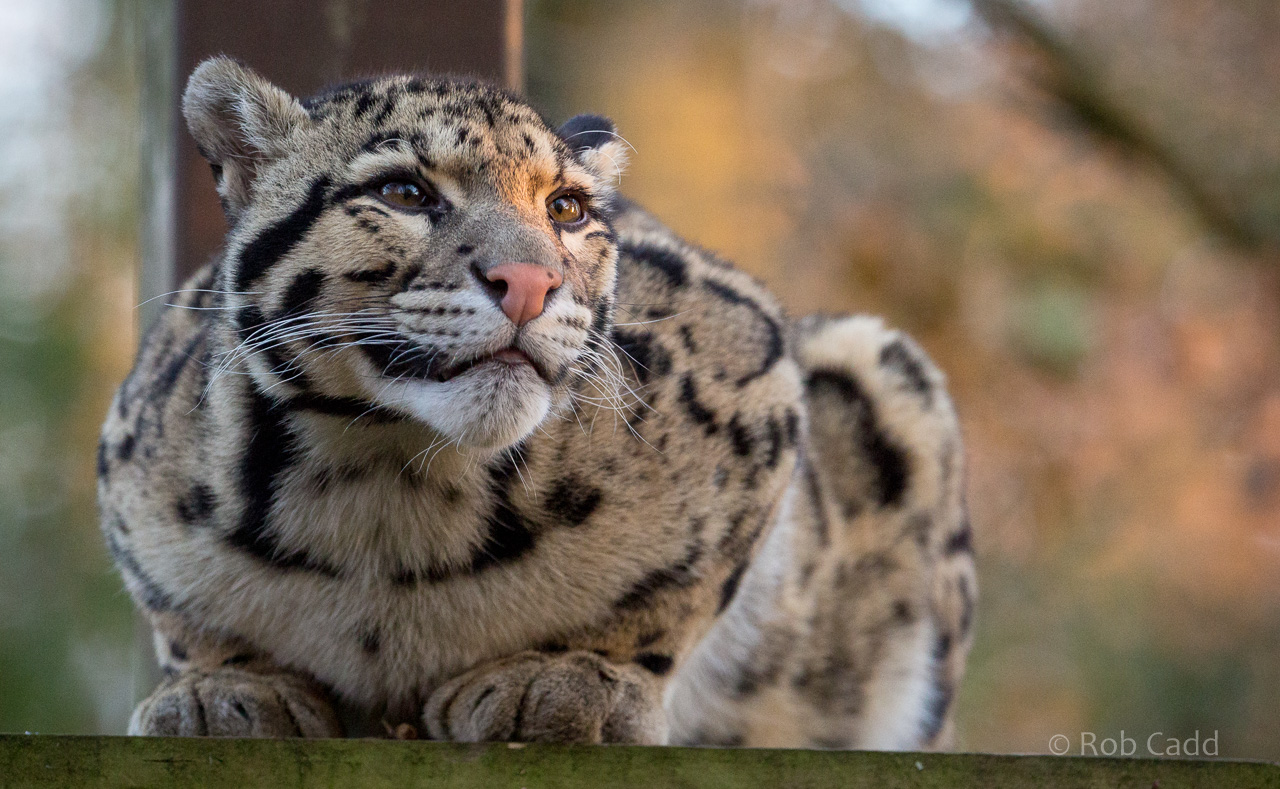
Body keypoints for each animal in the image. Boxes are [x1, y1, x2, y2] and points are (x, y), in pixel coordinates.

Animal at [97, 56, 976, 749]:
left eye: (567, 208)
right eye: (403, 190)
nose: (529, 281)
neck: (385, 504)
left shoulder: (758, 377)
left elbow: (678, 591)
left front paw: (570, 679)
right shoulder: (130, 474)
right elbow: (182, 614)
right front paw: (217, 690)